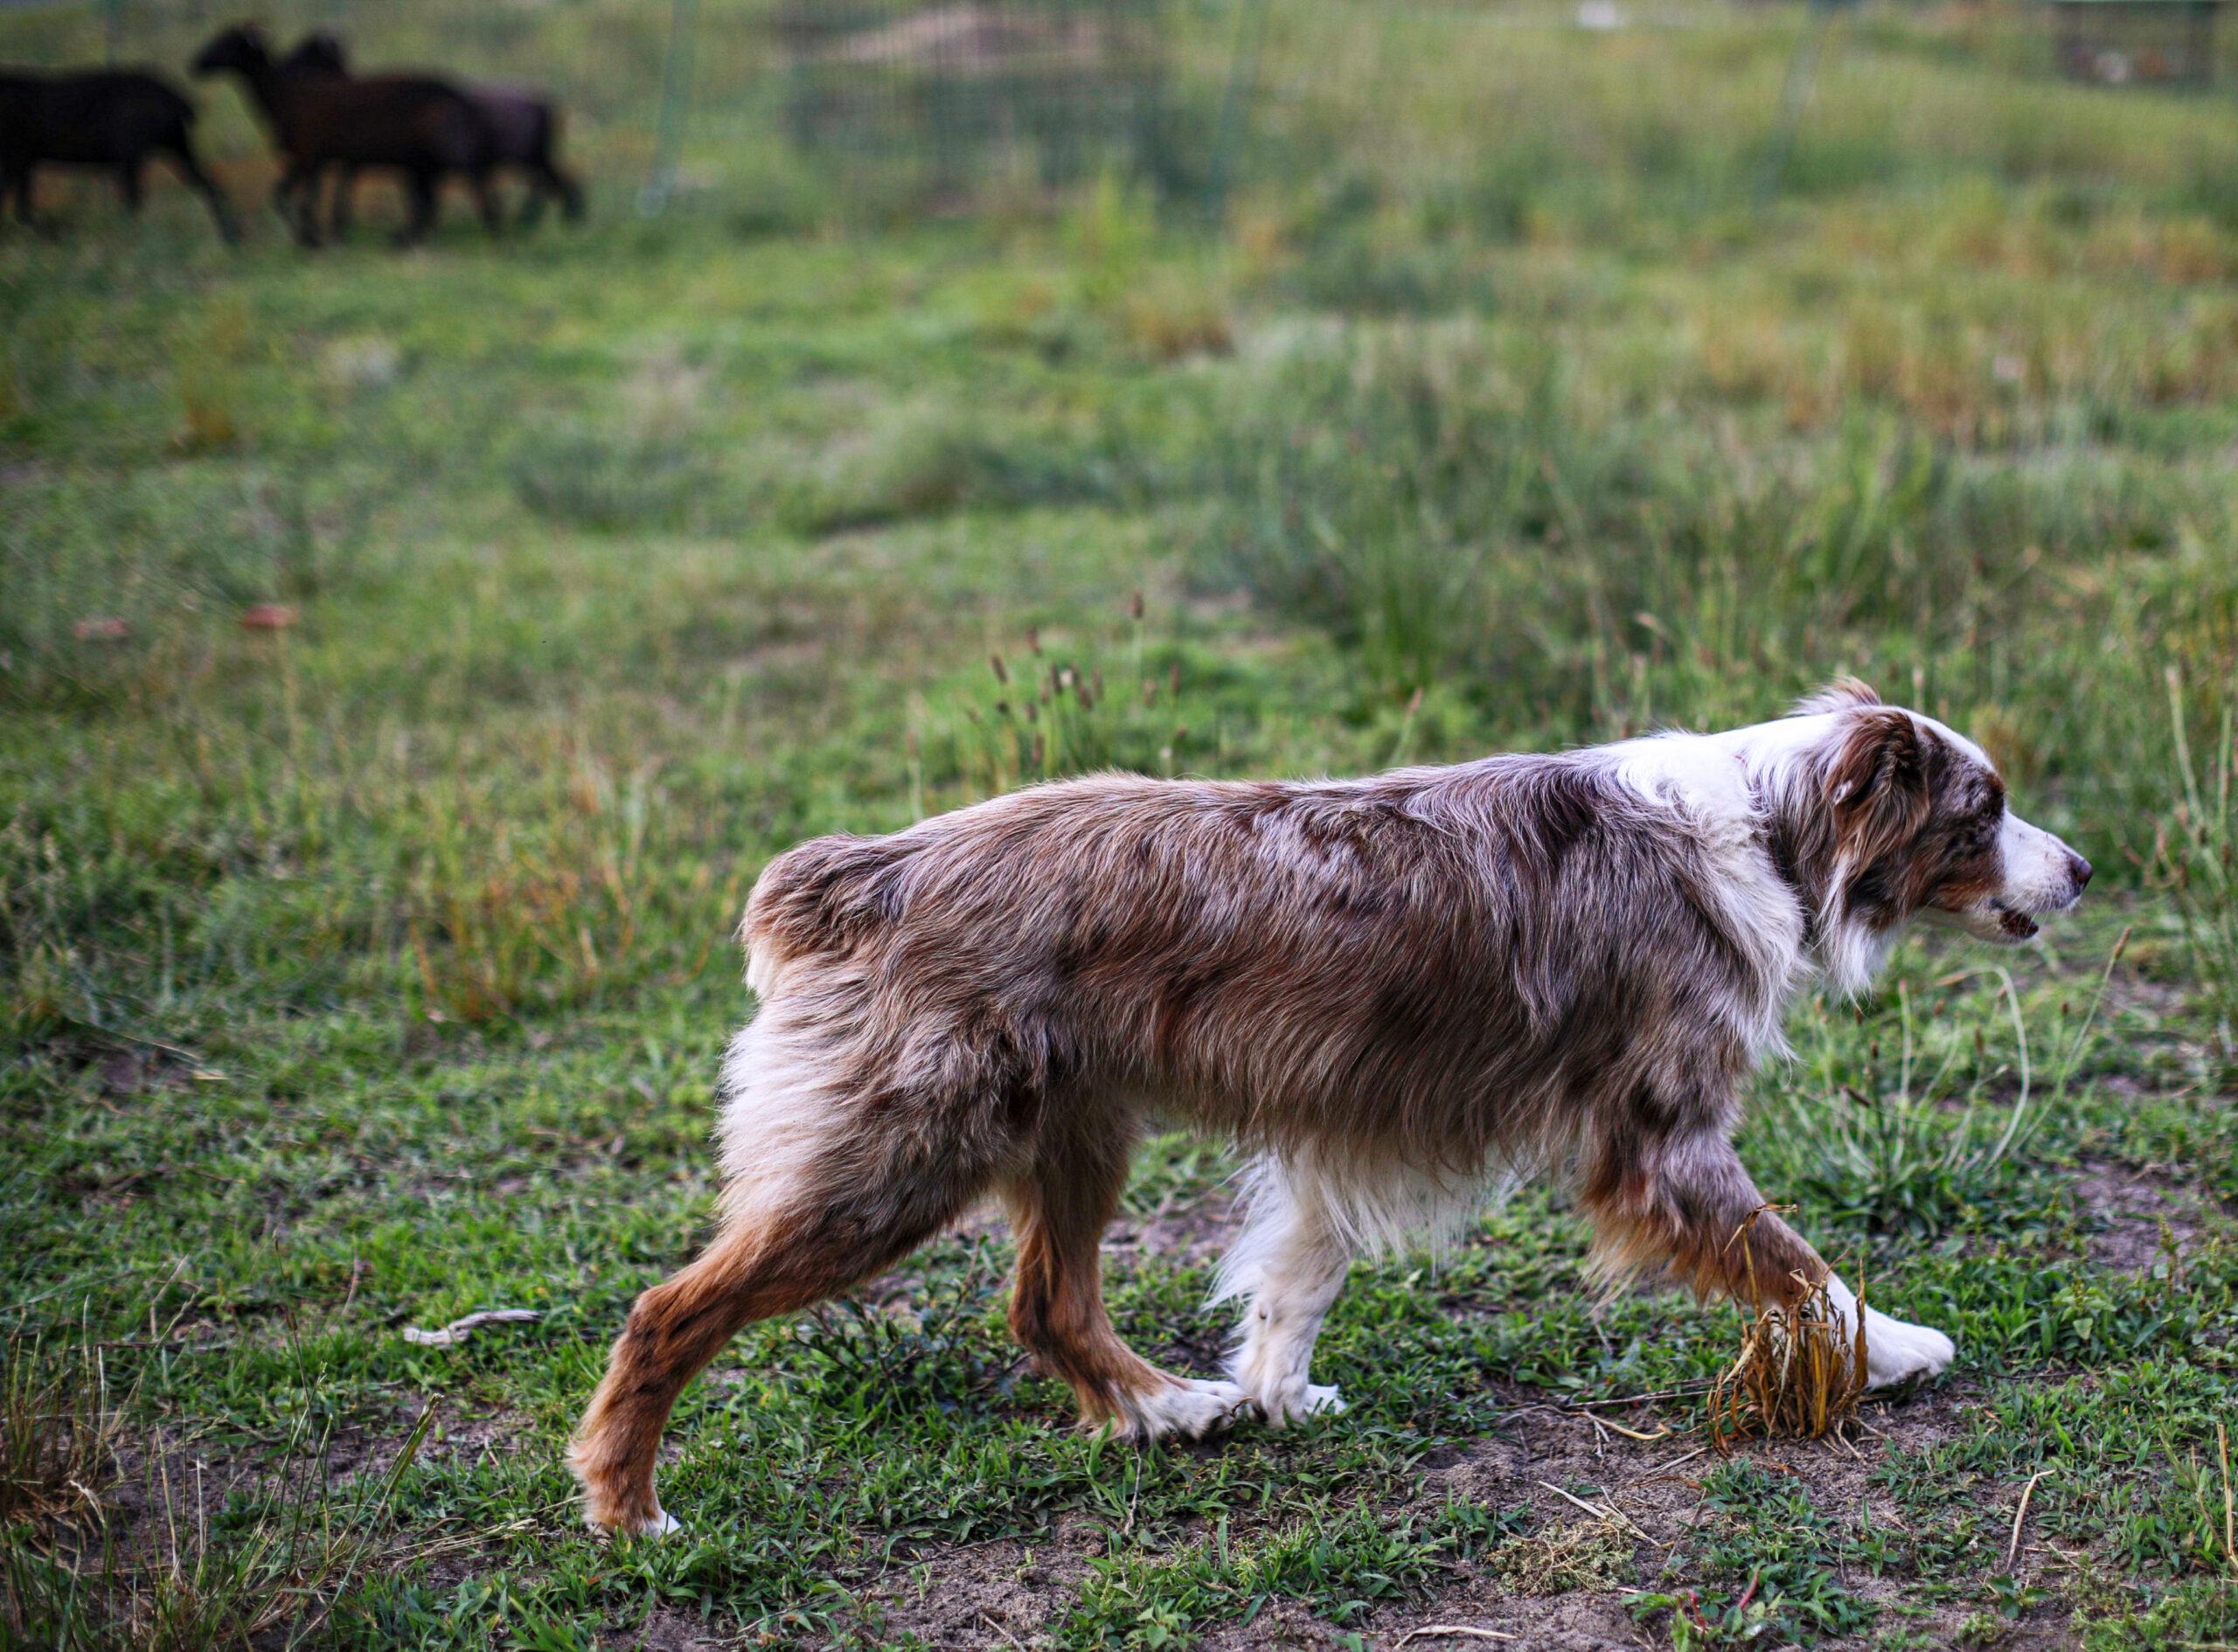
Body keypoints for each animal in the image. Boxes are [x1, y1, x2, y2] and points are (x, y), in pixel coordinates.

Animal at [0, 66, 239, 239]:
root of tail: (178, 100)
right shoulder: (25, 161)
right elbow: (23, 207)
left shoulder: (17, 157)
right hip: (175, 145)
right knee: (208, 184)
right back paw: (232, 238)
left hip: (136, 154)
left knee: (136, 199)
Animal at [189, 23, 498, 246]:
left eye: (228, 41)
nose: (195, 63)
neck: (284, 95)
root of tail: (450, 89)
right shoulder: (314, 159)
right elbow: (291, 197)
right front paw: (315, 236)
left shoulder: (307, 155)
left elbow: (295, 199)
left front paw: (311, 239)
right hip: (423, 158)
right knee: (433, 196)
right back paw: (408, 238)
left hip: (440, 149)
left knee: (468, 174)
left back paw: (493, 223)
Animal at [286, 31, 586, 233]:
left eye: (311, 53)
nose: (288, 67)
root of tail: (545, 102)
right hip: (533, 157)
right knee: (552, 181)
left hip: (530, 156)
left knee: (553, 182)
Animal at [568, 676, 2085, 1522]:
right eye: (1983, 806)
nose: (2081, 869)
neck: (1770, 830)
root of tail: (860, 868)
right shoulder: (1664, 1140)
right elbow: (1803, 1265)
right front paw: (1897, 1348)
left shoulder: (1350, 1123)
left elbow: (1295, 1276)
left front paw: (1274, 1391)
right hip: (896, 1157)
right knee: (664, 1310)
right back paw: (629, 1510)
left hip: (1078, 1128)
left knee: (1045, 1301)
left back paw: (1168, 1409)